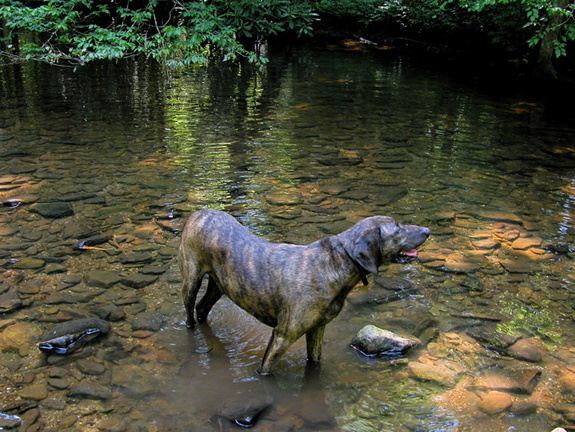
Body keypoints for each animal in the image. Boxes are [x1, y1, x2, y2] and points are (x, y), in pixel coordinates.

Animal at [178, 209, 430, 374]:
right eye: (397, 229)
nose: (427, 230)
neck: (339, 261)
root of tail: (199, 212)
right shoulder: (282, 336)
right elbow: (265, 370)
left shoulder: (317, 329)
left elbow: (314, 361)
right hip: (191, 279)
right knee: (190, 311)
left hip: (220, 285)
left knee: (202, 308)